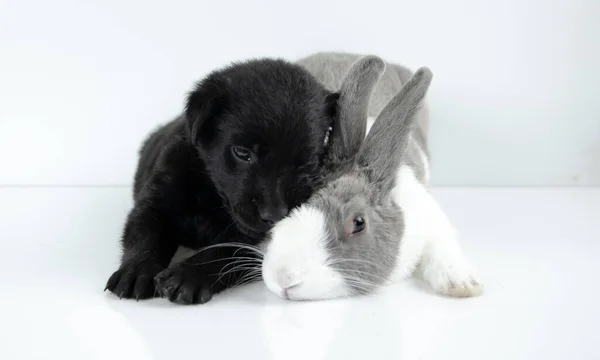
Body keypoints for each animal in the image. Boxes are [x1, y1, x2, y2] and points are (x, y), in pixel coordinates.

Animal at [105, 58, 336, 304]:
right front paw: (136, 270)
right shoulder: (155, 202)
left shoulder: (249, 238)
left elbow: (222, 251)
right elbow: (144, 234)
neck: (211, 194)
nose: (274, 215)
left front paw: (187, 275)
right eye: (242, 153)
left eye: (308, 161)